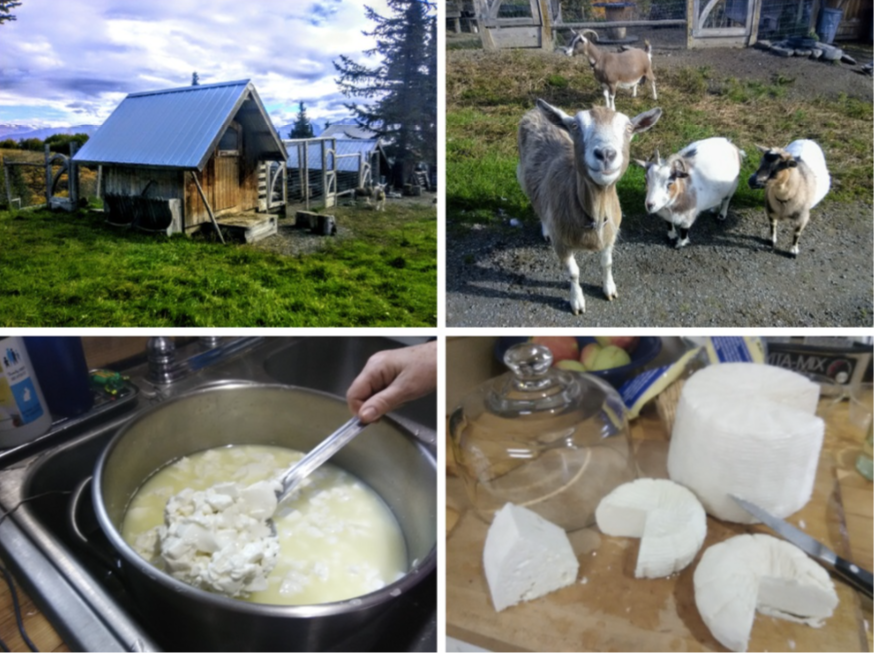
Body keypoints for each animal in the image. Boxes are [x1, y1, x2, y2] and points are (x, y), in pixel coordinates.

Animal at [516, 97, 656, 316]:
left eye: (629, 128)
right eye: (575, 126)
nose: (605, 154)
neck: (597, 209)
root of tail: (533, 111)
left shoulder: (610, 235)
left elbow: (607, 263)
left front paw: (609, 289)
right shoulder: (561, 243)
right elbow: (573, 273)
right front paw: (577, 302)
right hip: (522, 174)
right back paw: (545, 228)